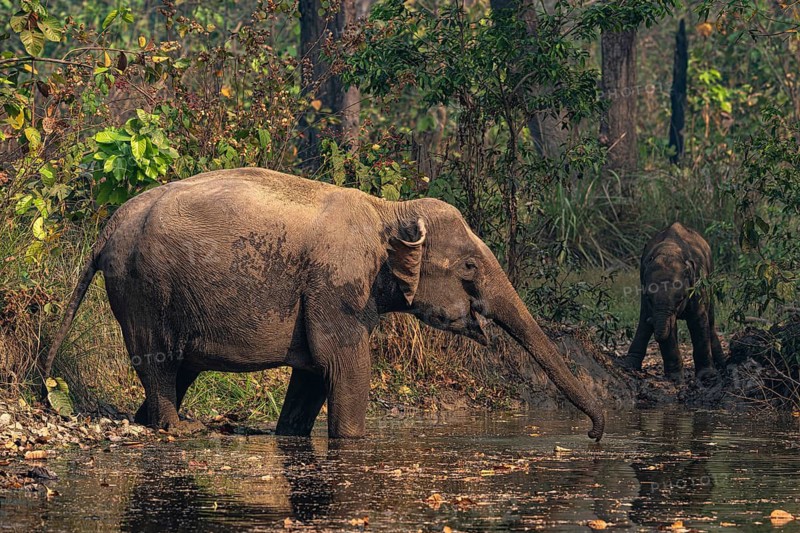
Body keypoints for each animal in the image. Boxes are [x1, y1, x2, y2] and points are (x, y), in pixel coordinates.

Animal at [43, 168, 604, 440]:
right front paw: (353, 441)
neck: (388, 209)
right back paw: (179, 428)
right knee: (158, 361)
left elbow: (313, 373)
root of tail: (108, 228)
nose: (595, 435)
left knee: (179, 369)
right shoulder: (336, 288)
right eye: (468, 267)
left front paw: (290, 433)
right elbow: (345, 364)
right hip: (144, 288)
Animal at [617, 222, 726, 382]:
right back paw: (629, 365)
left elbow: (698, 320)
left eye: (681, 299)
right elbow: (669, 330)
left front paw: (707, 376)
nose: (651, 320)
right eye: (649, 298)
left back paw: (722, 364)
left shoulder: (698, 284)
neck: (670, 250)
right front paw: (675, 378)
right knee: (643, 323)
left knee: (710, 321)